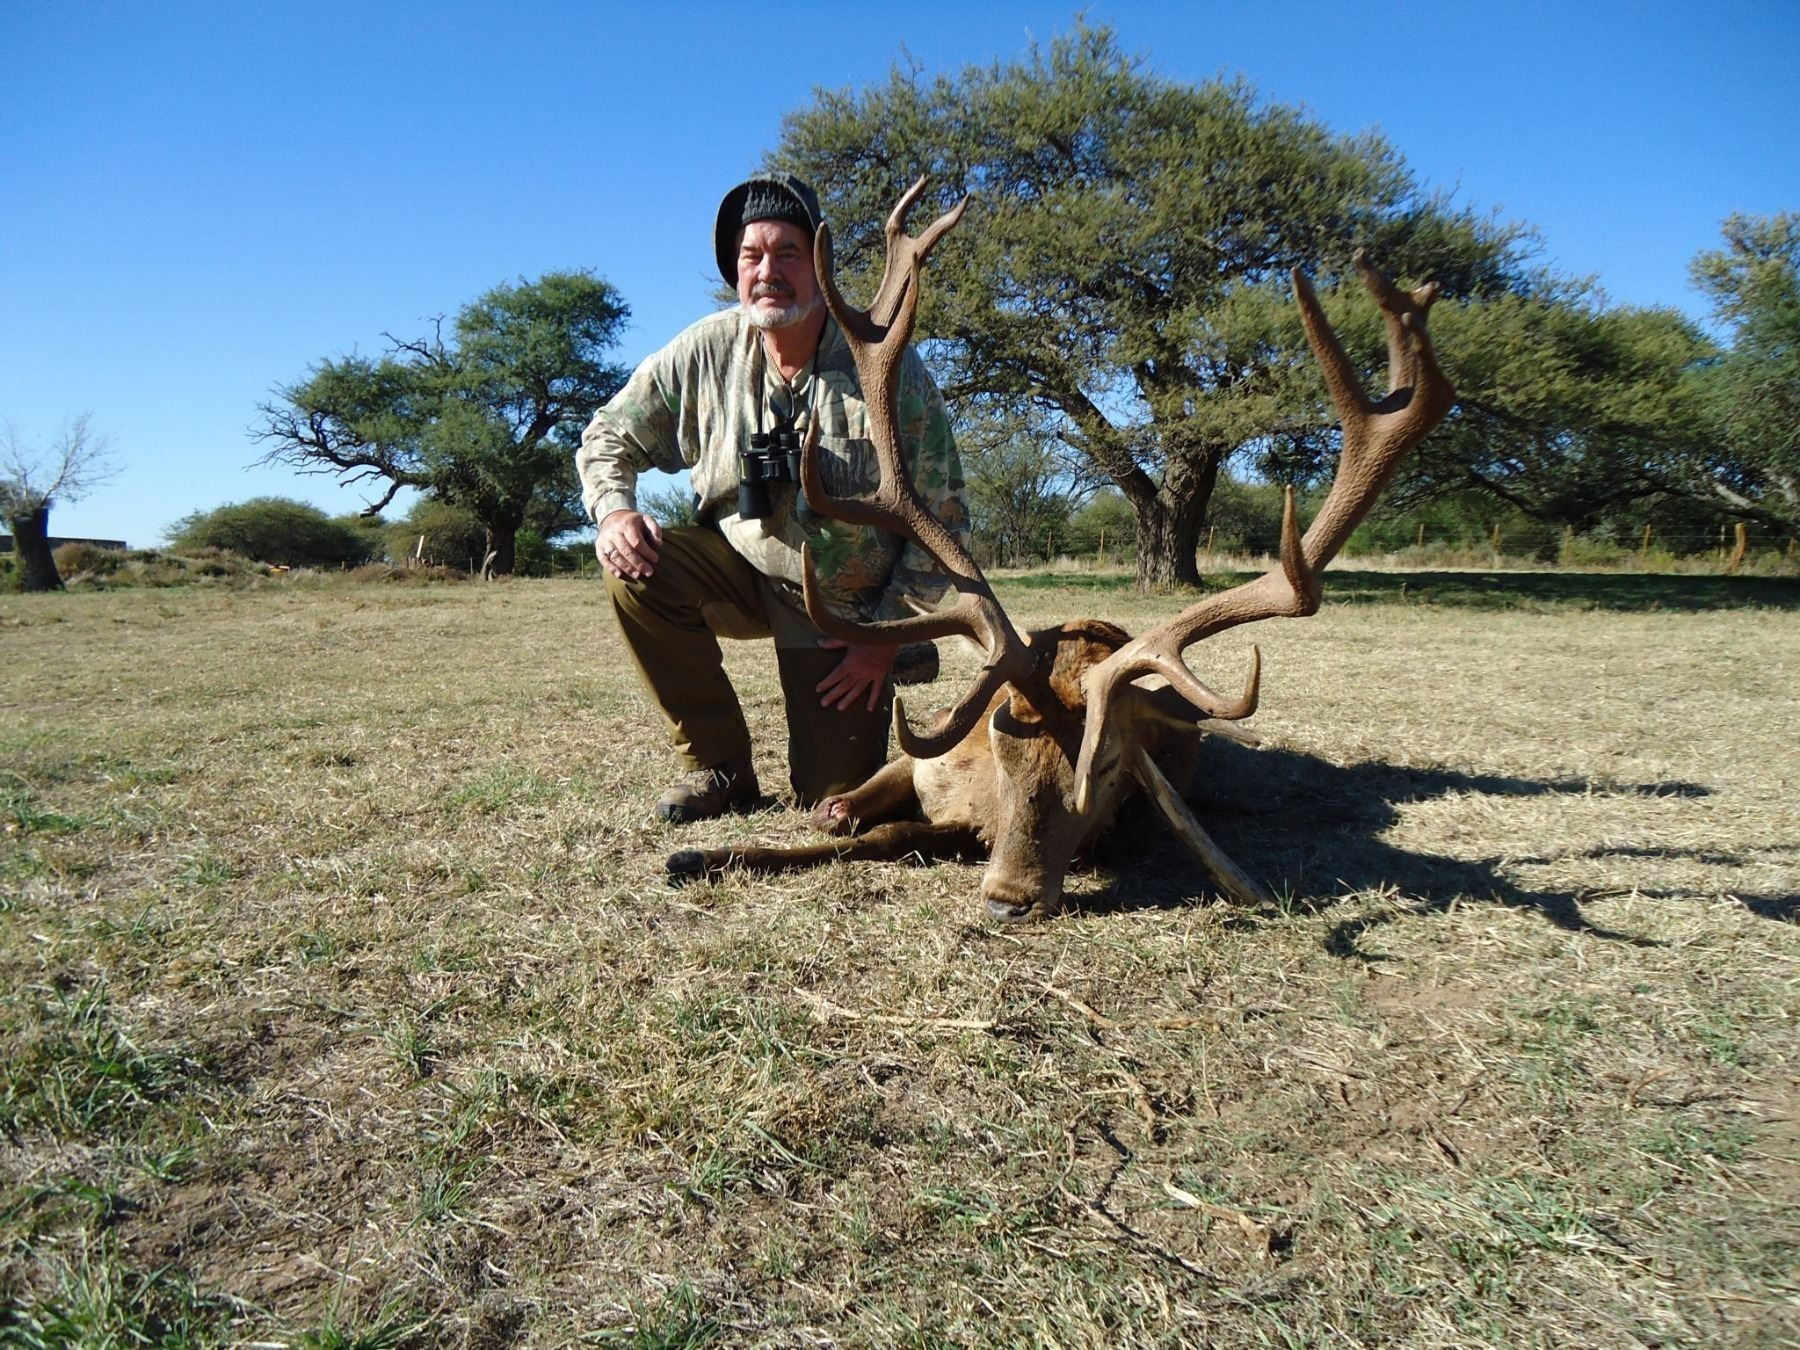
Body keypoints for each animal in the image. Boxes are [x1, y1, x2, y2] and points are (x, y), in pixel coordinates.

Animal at [667, 179, 1456, 921]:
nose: (1008, 897)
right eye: (1004, 749)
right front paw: (701, 854)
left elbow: (885, 834)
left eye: (1108, 774)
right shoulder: (920, 758)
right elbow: (839, 815)